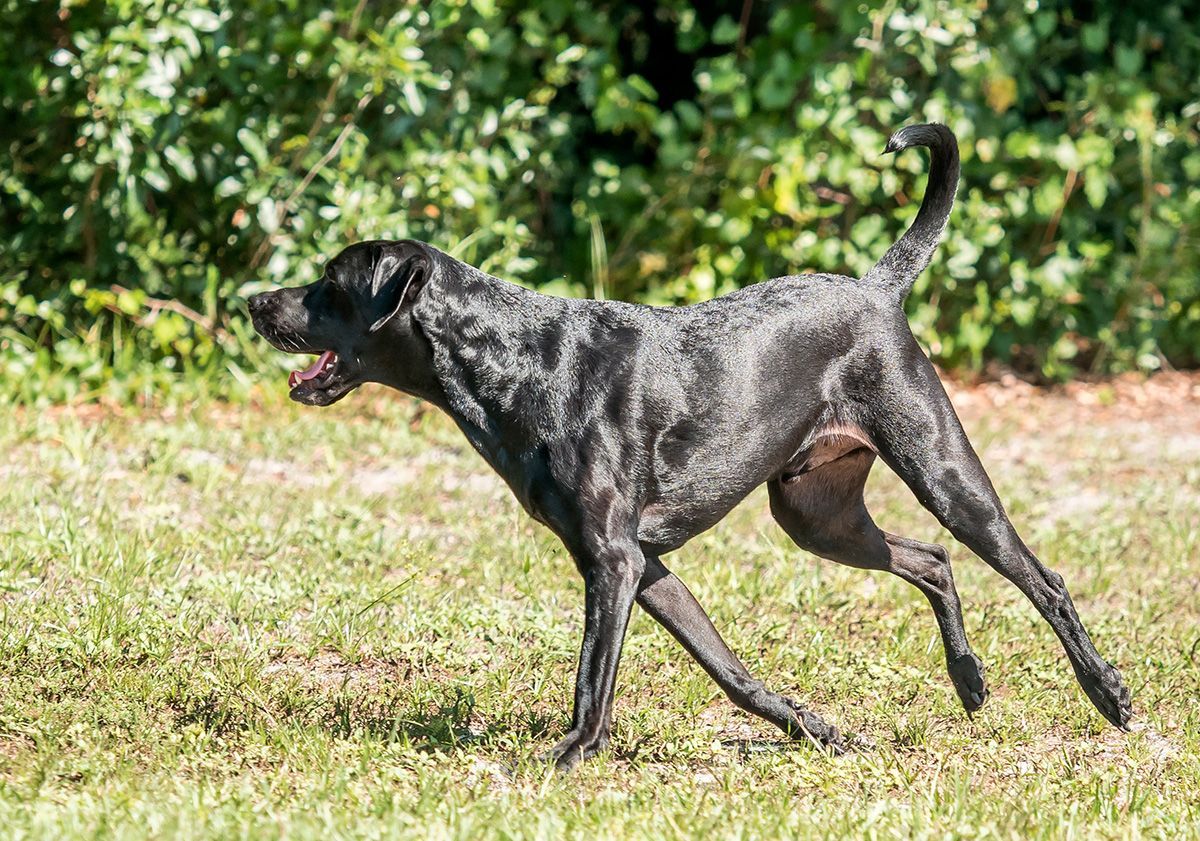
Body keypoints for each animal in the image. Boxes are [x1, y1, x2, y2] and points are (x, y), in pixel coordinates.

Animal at [246, 122, 1132, 767]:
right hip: (817, 516)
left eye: (330, 282)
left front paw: (569, 756)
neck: (517, 358)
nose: (254, 301)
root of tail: (877, 288)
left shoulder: (612, 562)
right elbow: (732, 672)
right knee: (932, 562)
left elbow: (590, 681)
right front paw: (817, 729)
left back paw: (1108, 694)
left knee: (1042, 579)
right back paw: (970, 682)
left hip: (944, 473)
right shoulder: (646, 569)